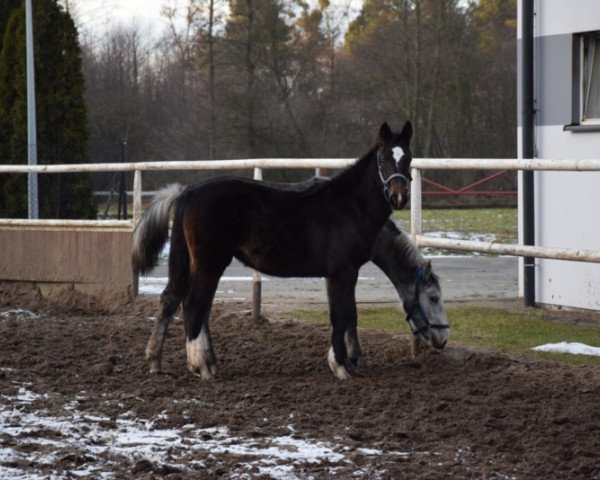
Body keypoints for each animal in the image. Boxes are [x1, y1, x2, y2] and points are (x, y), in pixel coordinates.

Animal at [131, 122, 412, 380]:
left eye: (408, 158)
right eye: (384, 158)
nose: (399, 197)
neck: (349, 205)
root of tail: (188, 192)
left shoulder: (341, 274)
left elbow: (350, 314)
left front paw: (351, 362)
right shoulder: (343, 272)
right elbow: (340, 316)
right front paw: (341, 366)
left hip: (191, 263)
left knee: (174, 300)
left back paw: (162, 360)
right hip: (210, 263)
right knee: (193, 304)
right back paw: (202, 366)